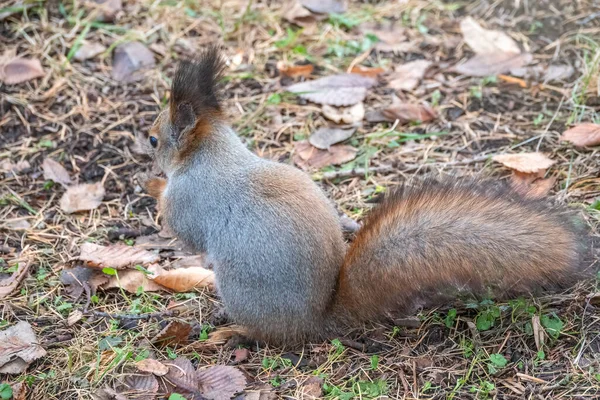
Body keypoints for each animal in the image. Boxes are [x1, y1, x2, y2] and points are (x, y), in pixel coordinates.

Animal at [136, 47, 592, 346]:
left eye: (155, 139)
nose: (145, 146)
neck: (214, 152)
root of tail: (314, 322)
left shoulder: (193, 199)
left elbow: (184, 230)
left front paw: (152, 185)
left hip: (239, 288)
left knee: (269, 336)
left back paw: (235, 331)